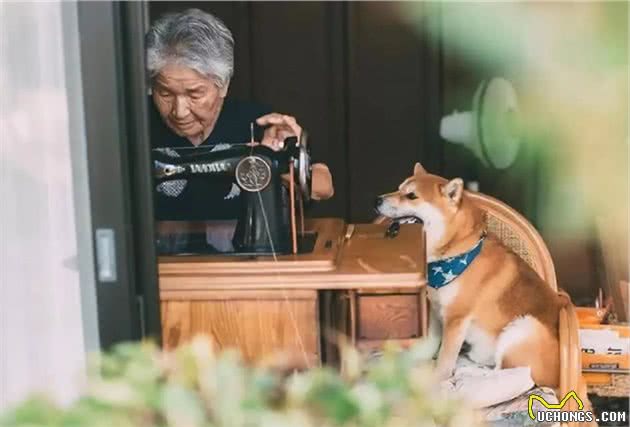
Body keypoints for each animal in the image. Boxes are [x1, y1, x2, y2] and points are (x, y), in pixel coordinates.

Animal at [372, 161, 572, 388]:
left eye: (411, 196)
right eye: (398, 188)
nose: (377, 200)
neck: (454, 251)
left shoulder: (456, 319)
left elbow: (444, 359)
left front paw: (436, 380)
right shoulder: (436, 310)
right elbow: (429, 346)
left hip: (524, 329)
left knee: (516, 376)